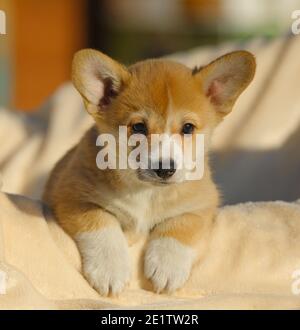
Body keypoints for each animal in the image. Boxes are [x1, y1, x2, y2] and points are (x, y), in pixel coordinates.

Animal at [43, 49, 255, 296]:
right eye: (138, 127)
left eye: (188, 128)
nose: (165, 169)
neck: (146, 192)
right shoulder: (71, 196)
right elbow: (101, 223)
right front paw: (110, 269)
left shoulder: (202, 205)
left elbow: (180, 225)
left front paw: (167, 266)